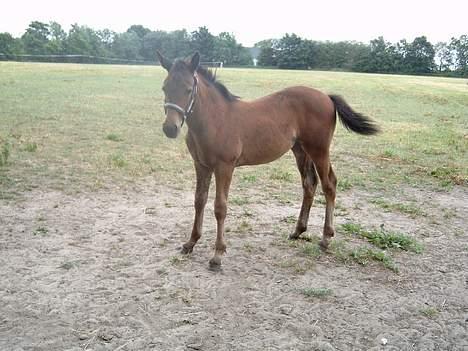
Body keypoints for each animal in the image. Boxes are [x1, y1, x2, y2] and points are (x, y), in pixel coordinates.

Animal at [157, 51, 380, 268]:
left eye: (188, 90)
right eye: (164, 87)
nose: (170, 128)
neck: (215, 119)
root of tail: (326, 96)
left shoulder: (224, 167)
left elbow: (220, 207)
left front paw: (218, 254)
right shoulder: (201, 165)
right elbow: (199, 201)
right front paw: (191, 242)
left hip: (319, 150)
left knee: (329, 185)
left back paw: (325, 238)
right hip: (301, 150)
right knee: (309, 184)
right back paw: (298, 230)